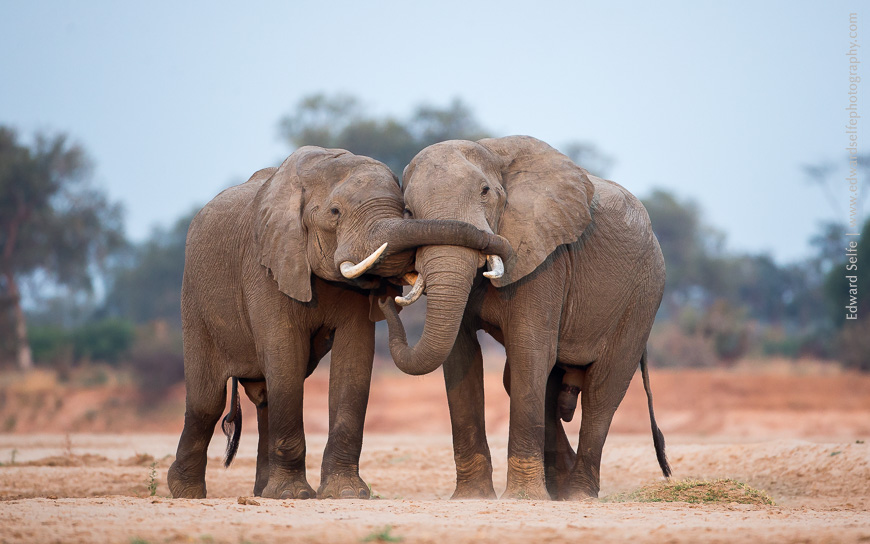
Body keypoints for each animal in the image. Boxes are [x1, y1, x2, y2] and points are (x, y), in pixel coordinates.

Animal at [166, 146, 513, 500]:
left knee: (262, 397)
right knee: (207, 400)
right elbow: (285, 356)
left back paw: (262, 492)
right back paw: (186, 492)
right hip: (194, 300)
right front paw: (294, 495)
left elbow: (354, 361)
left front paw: (345, 493)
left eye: (403, 209)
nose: (387, 301)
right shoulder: (266, 266)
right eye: (334, 212)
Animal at [379, 135, 671, 500]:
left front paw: (521, 498)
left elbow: (529, 351)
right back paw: (558, 488)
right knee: (537, 381)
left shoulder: (546, 259)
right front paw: (472, 497)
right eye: (408, 211)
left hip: (643, 296)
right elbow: (461, 356)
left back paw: (577, 495)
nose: (384, 299)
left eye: (485, 192)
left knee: (603, 388)